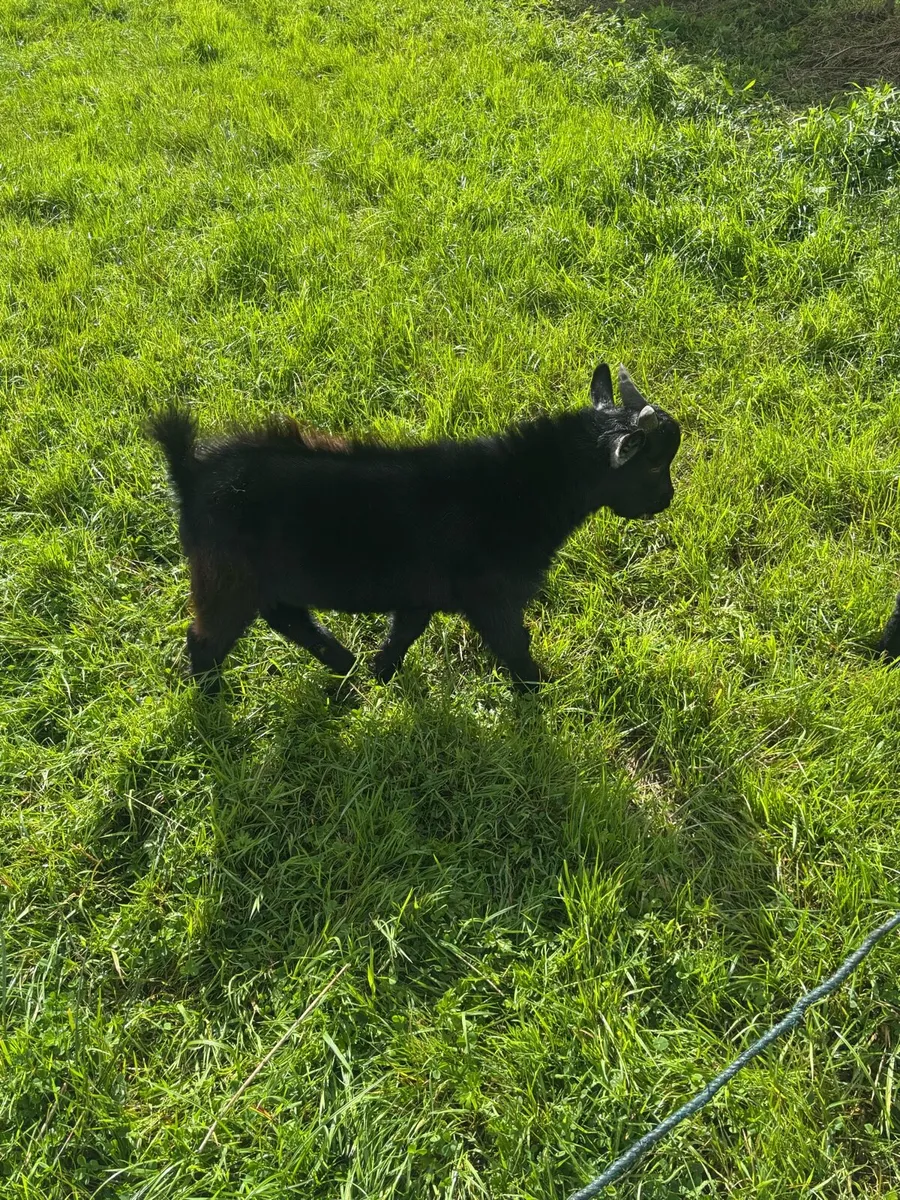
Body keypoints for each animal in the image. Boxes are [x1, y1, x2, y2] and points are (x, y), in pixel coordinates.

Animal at [150, 362, 681, 693]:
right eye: (655, 466)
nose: (667, 500)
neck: (522, 488)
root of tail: (189, 473)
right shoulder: (492, 597)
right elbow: (513, 645)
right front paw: (540, 692)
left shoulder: (420, 594)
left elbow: (404, 631)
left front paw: (381, 674)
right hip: (227, 579)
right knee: (206, 641)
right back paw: (215, 701)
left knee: (286, 617)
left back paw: (345, 670)